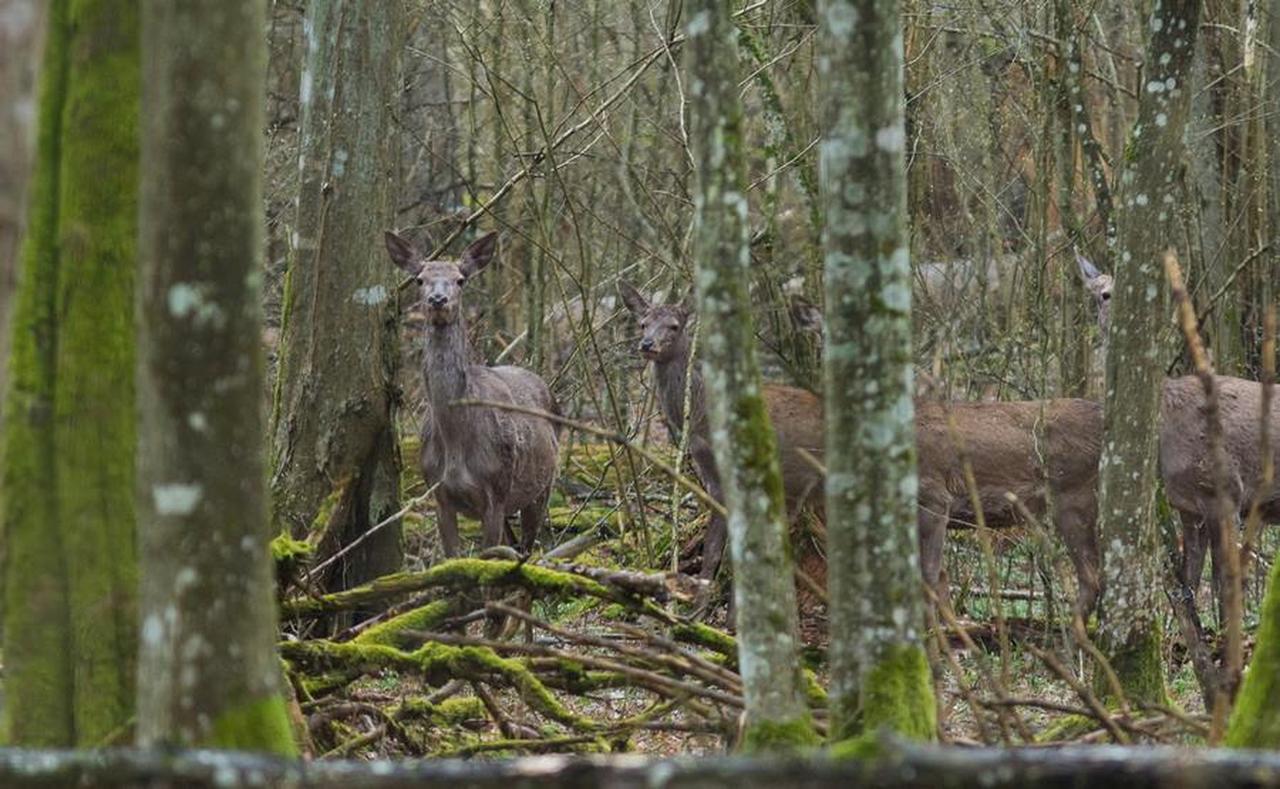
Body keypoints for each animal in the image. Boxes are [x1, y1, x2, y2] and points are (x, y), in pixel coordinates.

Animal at [378, 230, 560, 558]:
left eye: (461, 279)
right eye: (419, 279)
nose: (438, 300)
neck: (455, 444)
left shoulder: (496, 493)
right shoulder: (439, 495)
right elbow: (452, 559)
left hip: (542, 486)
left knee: (527, 544)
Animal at [624, 280, 1105, 619]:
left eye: (674, 326)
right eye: (642, 322)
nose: (646, 345)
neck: (703, 419)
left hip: (1074, 495)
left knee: (1092, 577)